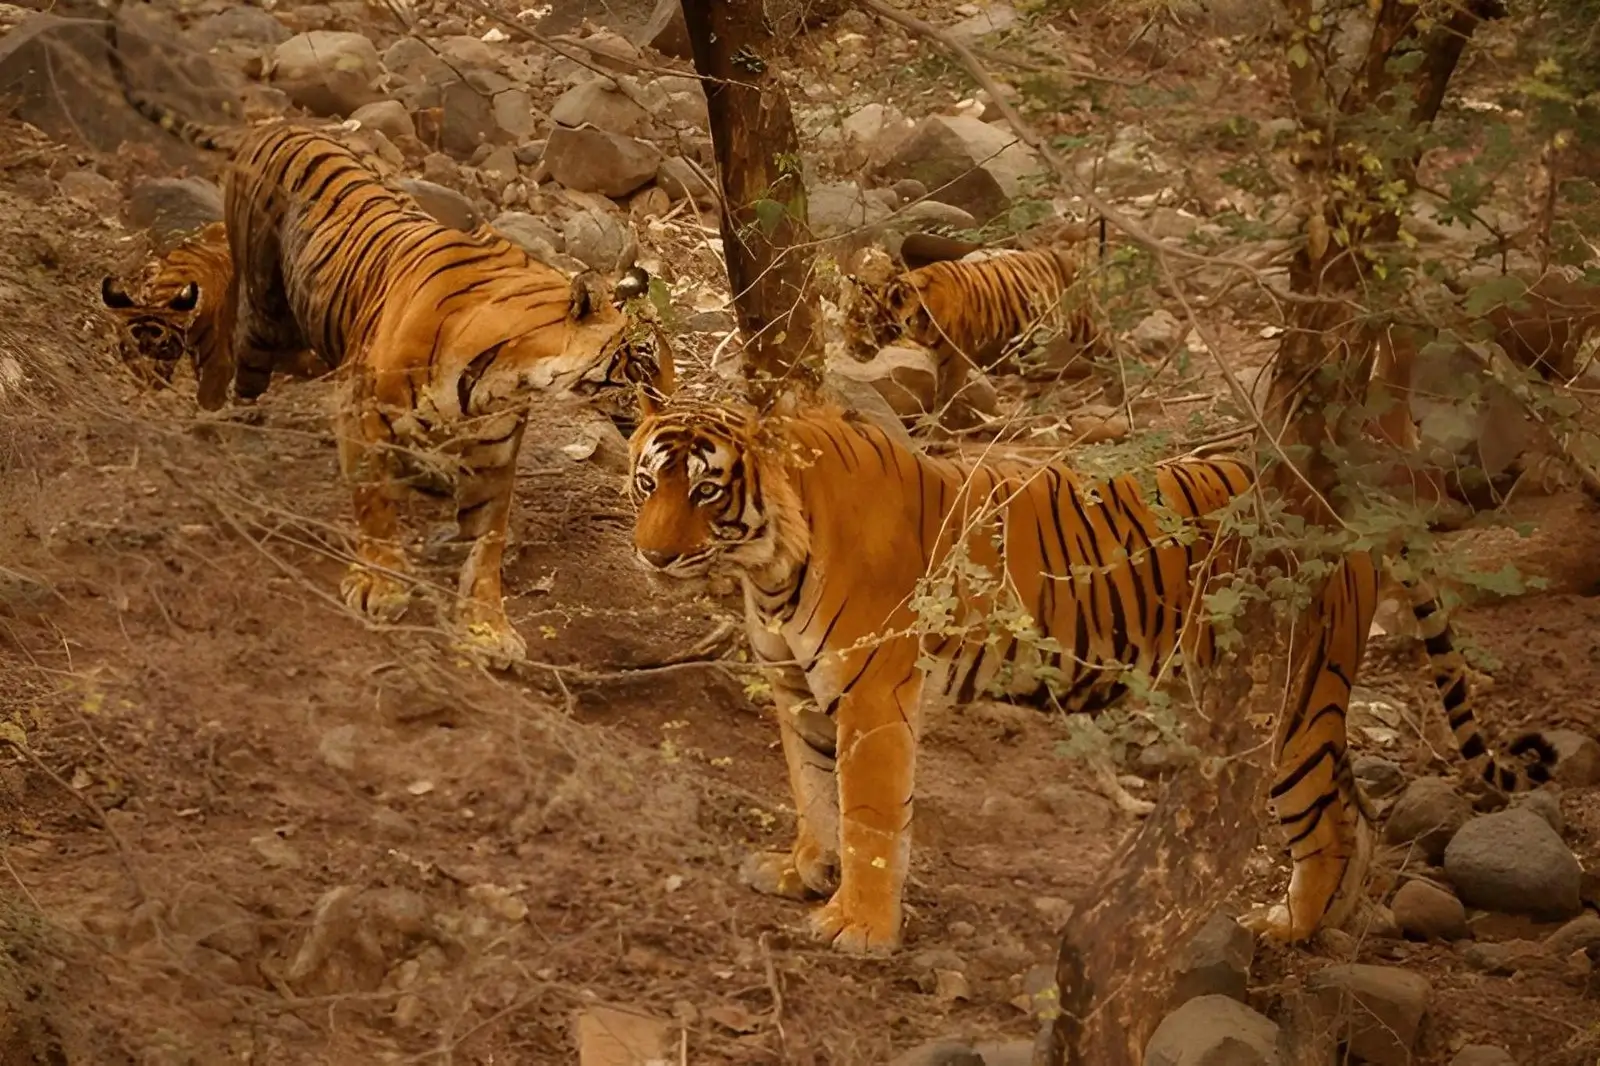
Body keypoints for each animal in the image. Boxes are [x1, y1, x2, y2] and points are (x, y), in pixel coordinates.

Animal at [626, 394, 1557, 954]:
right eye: (646, 482)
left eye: (705, 492)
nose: (652, 555)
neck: (767, 565)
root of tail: (1340, 507)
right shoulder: (800, 693)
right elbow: (813, 792)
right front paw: (804, 872)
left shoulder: (872, 699)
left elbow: (870, 817)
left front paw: (860, 927)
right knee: (1356, 811)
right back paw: (1334, 925)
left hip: (1289, 704)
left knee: (1329, 821)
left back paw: (1288, 927)